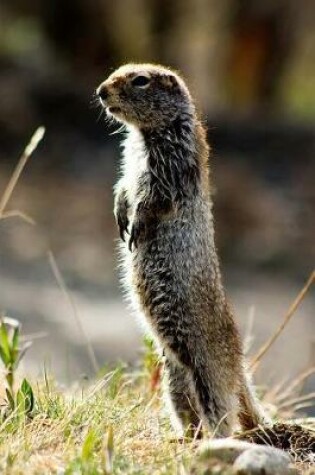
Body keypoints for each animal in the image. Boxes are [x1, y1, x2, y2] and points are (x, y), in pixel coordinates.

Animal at [97, 63, 270, 438]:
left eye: (141, 80)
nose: (101, 91)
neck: (147, 134)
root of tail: (240, 367)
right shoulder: (130, 161)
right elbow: (123, 185)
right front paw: (120, 214)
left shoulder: (171, 163)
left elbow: (154, 197)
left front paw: (137, 224)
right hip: (175, 378)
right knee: (191, 413)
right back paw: (183, 439)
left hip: (209, 375)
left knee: (223, 415)